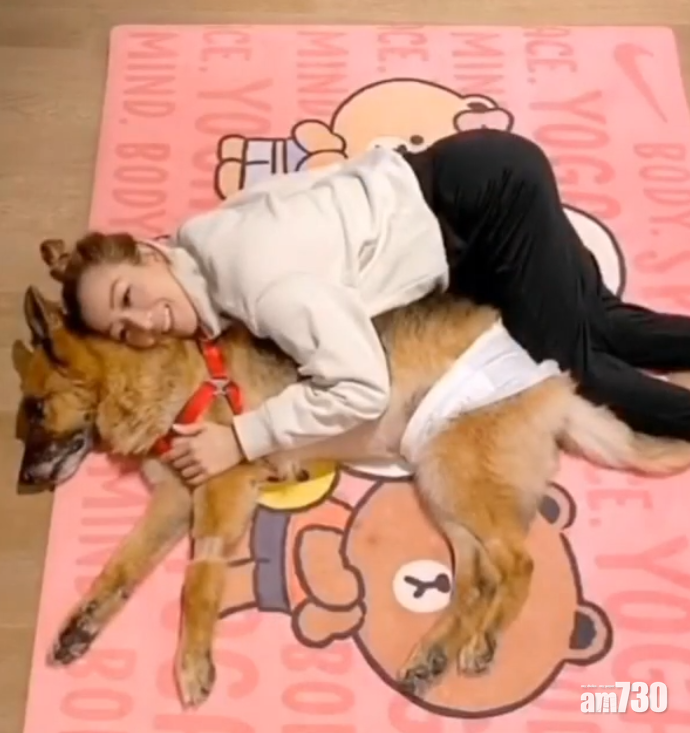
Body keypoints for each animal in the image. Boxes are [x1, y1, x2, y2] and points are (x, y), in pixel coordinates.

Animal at [13, 239, 690, 709]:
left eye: (37, 409)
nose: (23, 483)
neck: (154, 377)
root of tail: (554, 383)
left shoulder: (221, 492)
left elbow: (195, 582)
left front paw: (193, 663)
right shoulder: (176, 500)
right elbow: (120, 566)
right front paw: (80, 624)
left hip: (458, 478)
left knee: (519, 565)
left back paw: (484, 642)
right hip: (441, 486)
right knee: (477, 578)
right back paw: (436, 652)